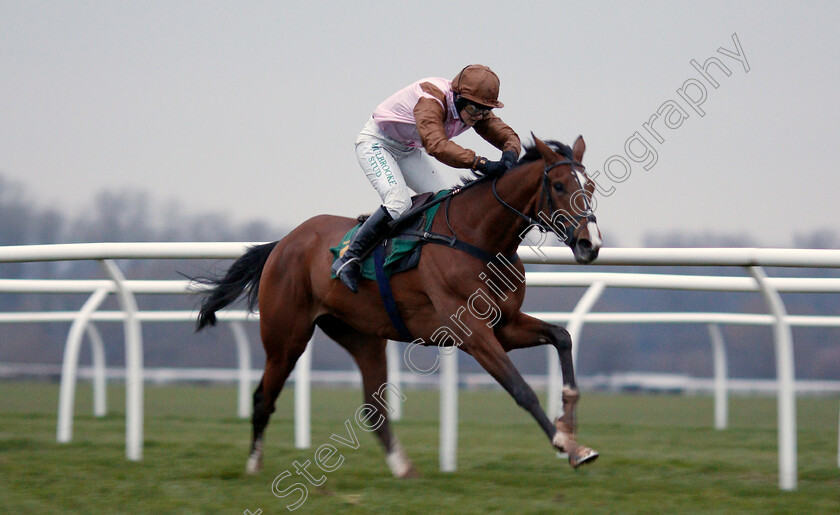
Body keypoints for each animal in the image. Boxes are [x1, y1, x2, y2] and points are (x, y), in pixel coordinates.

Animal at [195, 135, 604, 478]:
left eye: (590, 187)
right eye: (559, 185)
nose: (590, 244)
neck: (477, 237)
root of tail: (282, 243)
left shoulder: (504, 324)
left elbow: (562, 336)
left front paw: (569, 424)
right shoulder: (472, 332)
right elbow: (521, 389)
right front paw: (568, 446)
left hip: (362, 336)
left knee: (373, 410)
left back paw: (403, 468)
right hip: (286, 337)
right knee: (263, 397)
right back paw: (253, 466)